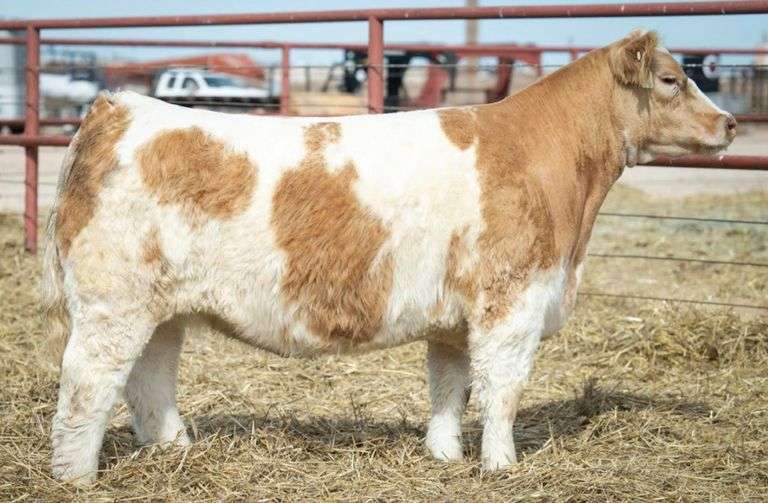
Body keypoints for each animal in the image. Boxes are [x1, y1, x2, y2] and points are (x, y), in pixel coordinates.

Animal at [43, 29, 736, 483]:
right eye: (671, 79)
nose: (730, 123)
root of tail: (118, 107)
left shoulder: (456, 317)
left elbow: (450, 386)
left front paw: (445, 456)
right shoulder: (512, 303)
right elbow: (503, 389)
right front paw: (502, 466)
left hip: (162, 309)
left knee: (148, 380)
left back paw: (177, 451)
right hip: (112, 303)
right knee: (85, 385)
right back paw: (76, 478)